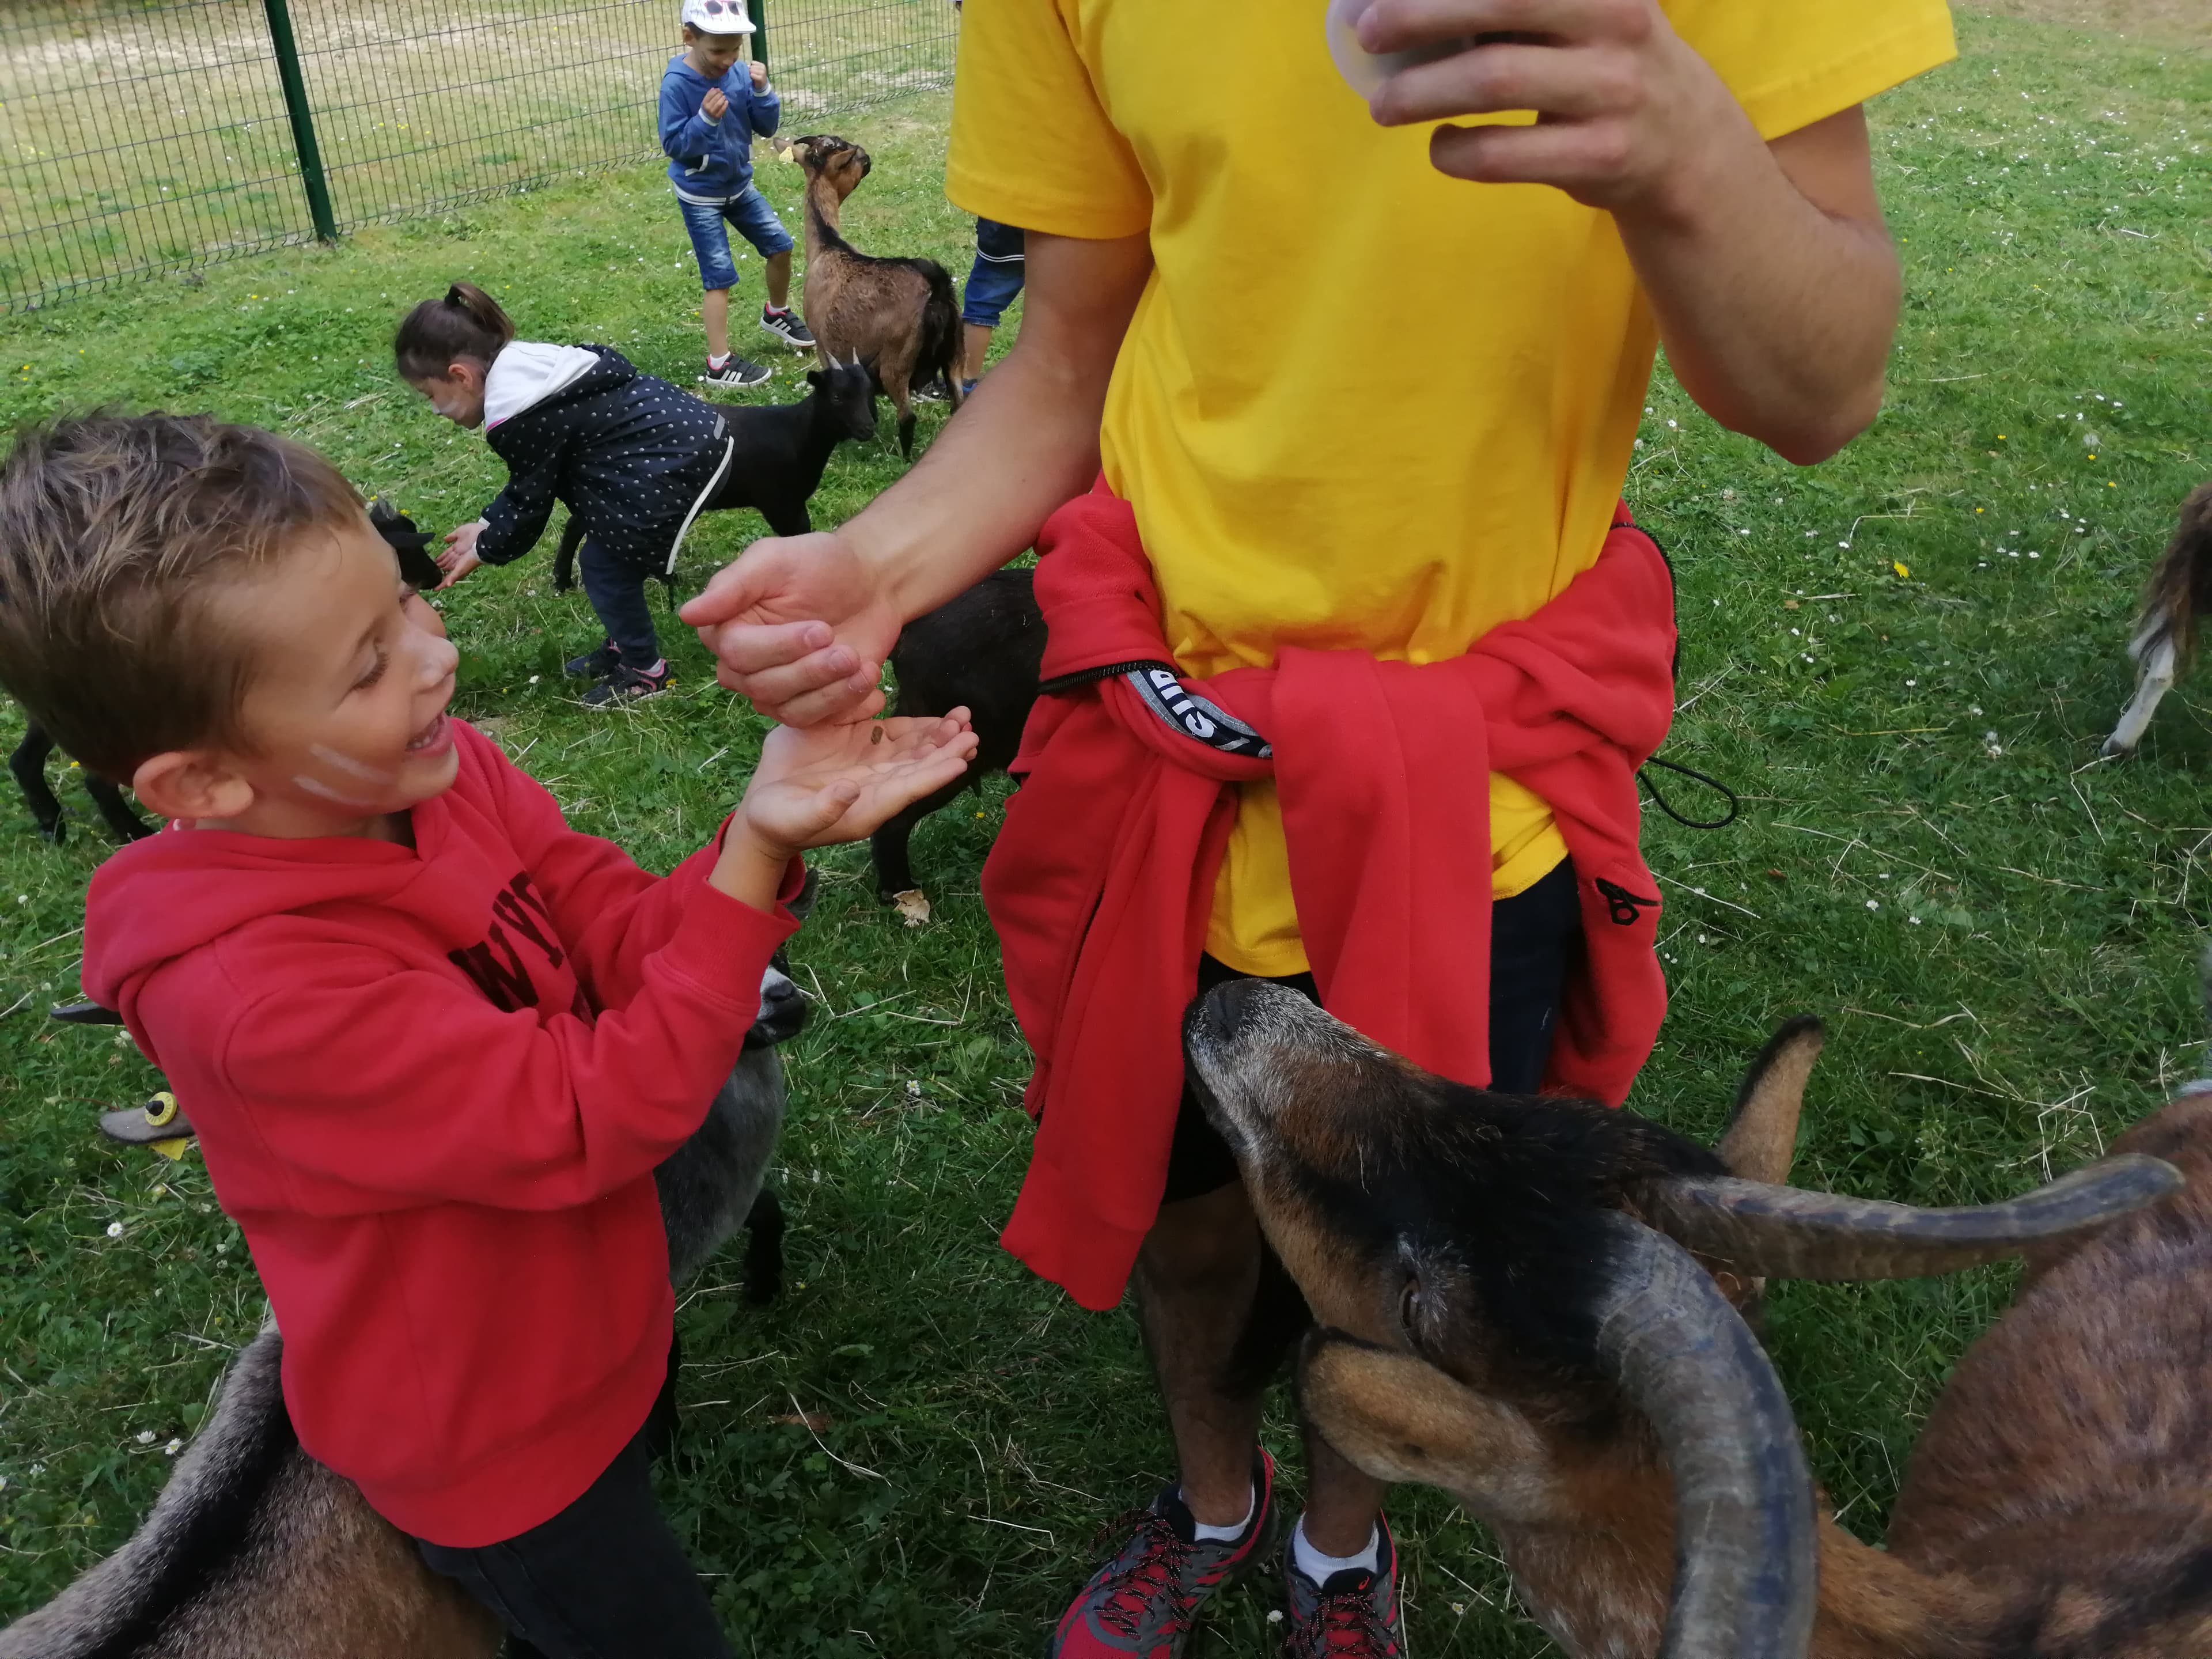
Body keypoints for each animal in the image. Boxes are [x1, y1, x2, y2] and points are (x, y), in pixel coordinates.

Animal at [551, 355, 879, 594]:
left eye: (869, 393)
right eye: (837, 397)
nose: (868, 429)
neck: (796, 433)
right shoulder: (781, 503)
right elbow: (800, 537)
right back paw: (564, 582)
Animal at [782, 133, 962, 460]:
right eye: (851, 158)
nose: (867, 157)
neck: (828, 246)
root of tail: (937, 289)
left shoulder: (824, 346)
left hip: (897, 360)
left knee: (907, 416)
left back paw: (904, 458)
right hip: (955, 353)